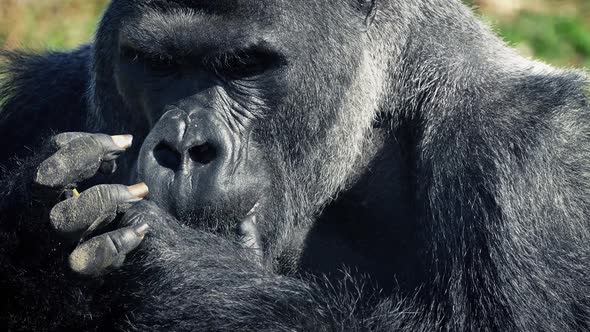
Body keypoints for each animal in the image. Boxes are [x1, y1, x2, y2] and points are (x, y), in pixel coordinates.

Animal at [0, 0, 588, 330]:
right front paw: (31, 230)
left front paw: (188, 273)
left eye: (245, 65)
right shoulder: (40, 96)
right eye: (157, 63)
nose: (185, 148)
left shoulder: (533, 151)